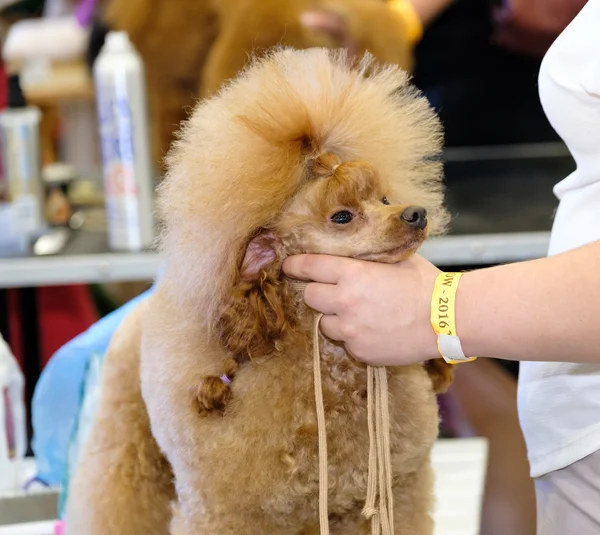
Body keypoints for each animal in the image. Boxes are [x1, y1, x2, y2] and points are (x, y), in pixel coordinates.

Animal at [64, 48, 450, 532]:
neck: (331, 368)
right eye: (342, 217)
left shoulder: (390, 490)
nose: (415, 214)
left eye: (383, 200)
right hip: (124, 432)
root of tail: (139, 308)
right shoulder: (226, 512)